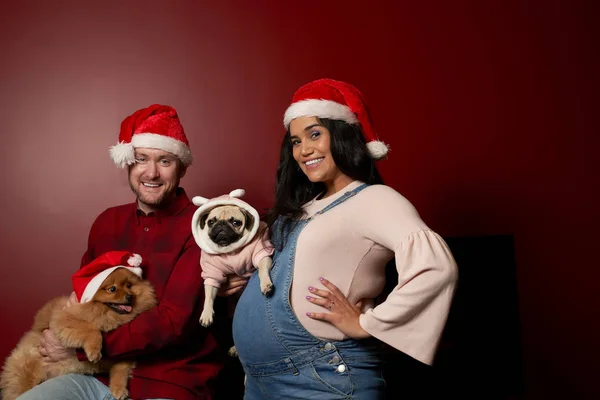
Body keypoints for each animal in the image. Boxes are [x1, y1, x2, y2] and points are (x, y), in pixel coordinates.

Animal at [0, 253, 155, 400]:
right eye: (112, 289)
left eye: (129, 285)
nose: (130, 296)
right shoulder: (63, 319)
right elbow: (92, 330)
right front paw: (94, 351)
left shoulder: (125, 355)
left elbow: (120, 370)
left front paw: (118, 389)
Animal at [192, 191, 274, 328]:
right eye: (211, 222)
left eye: (236, 223)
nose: (221, 224)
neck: (229, 248)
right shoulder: (212, 273)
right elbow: (209, 296)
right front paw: (206, 314)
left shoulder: (261, 254)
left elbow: (262, 271)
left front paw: (266, 284)